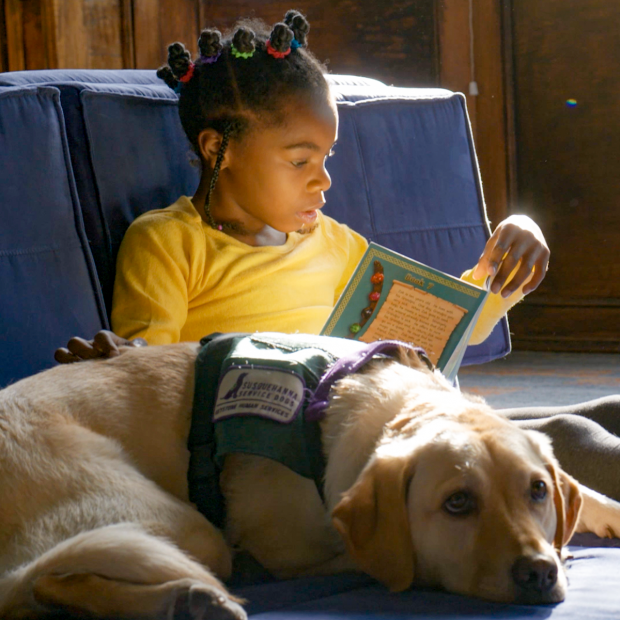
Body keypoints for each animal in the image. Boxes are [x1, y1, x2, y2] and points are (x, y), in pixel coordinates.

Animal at [1, 336, 620, 616]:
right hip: (182, 527)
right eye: (457, 503)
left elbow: (586, 491)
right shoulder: (297, 545)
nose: (539, 572)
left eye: (537, 491)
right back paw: (189, 598)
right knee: (43, 584)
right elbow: (376, 559)